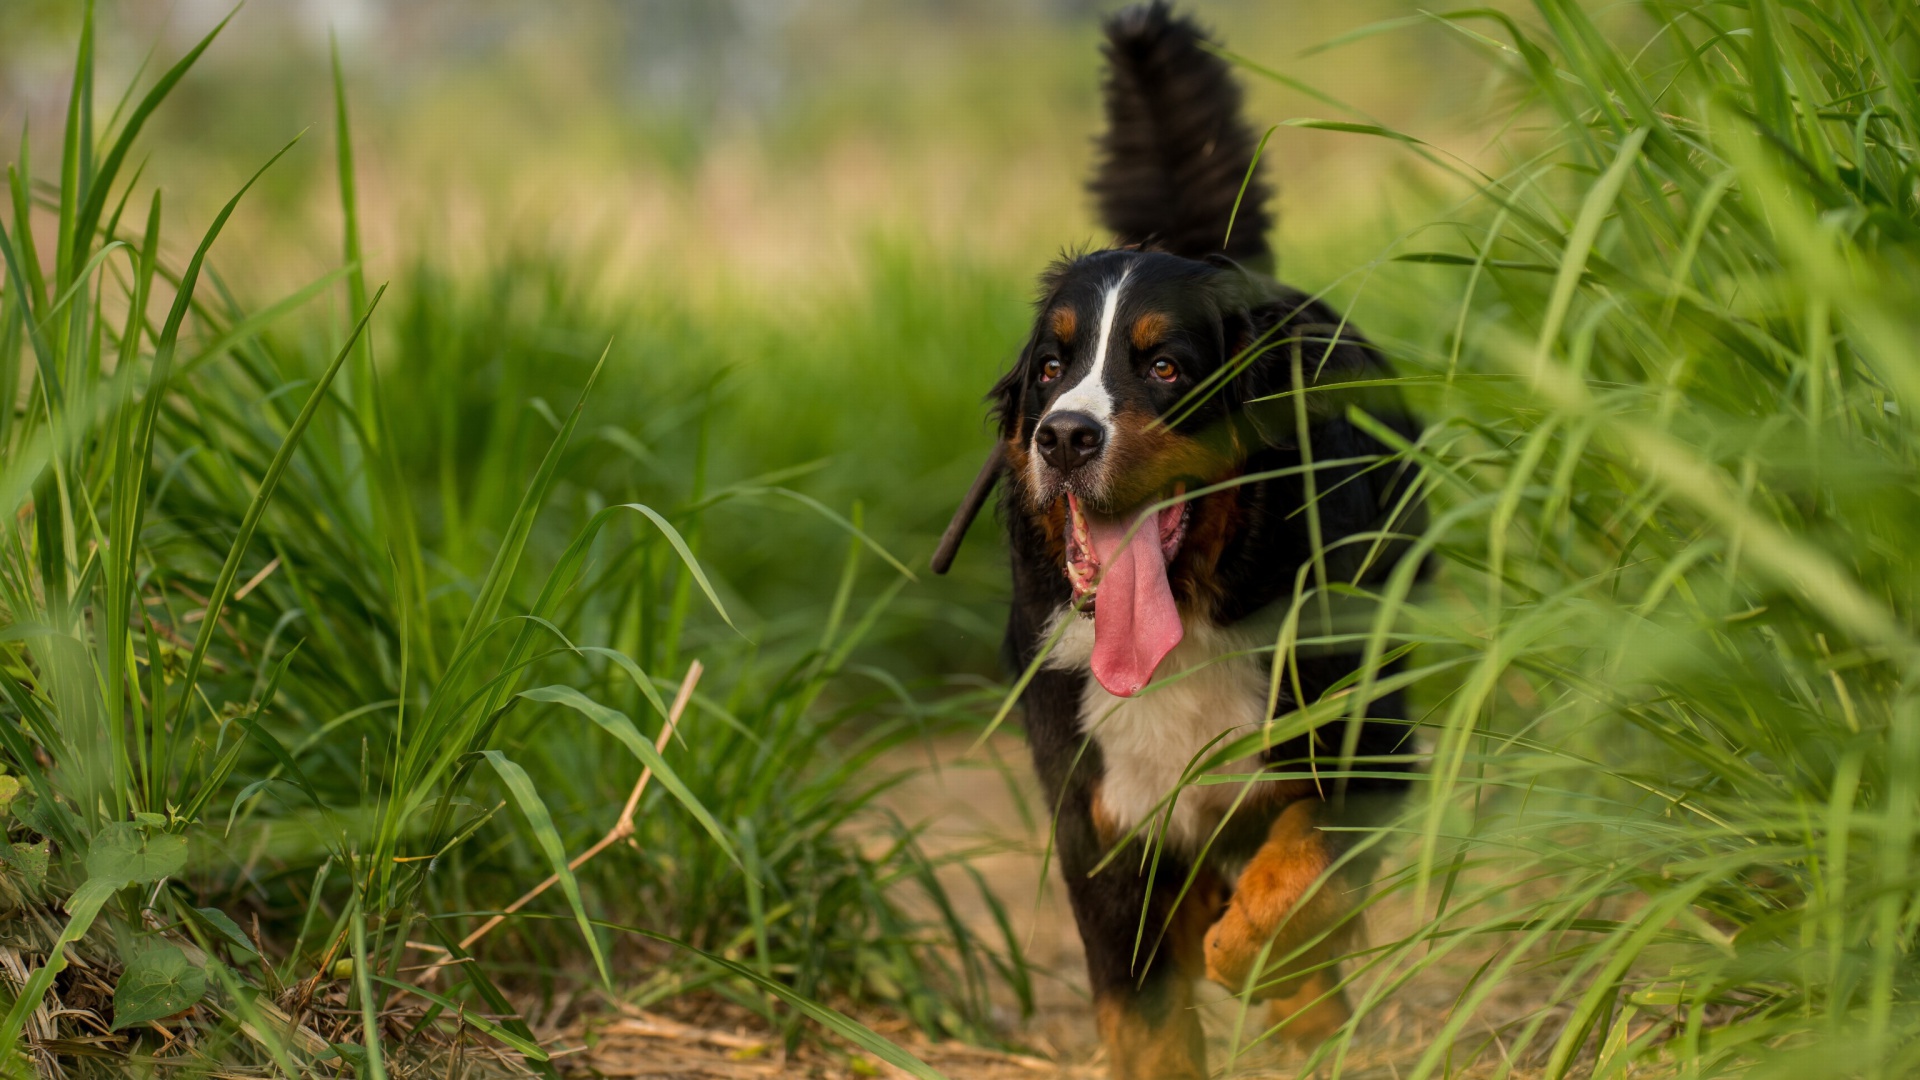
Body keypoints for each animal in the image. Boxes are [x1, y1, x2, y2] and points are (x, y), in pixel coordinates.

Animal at [929, 4, 1428, 1068]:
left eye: (1164, 368)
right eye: (1050, 367)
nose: (1066, 436)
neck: (1191, 625)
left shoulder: (1369, 748)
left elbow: (1300, 872)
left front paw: (1272, 973)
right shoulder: (1101, 821)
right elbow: (1145, 1011)